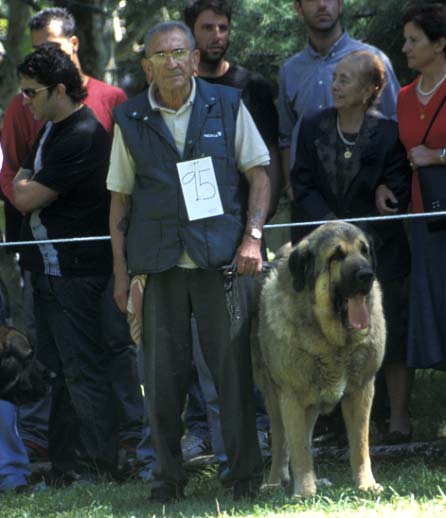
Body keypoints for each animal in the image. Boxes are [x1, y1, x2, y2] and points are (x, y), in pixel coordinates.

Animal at [254, 223, 386, 500]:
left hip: (311, 405)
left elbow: (360, 444)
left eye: (364, 251)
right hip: (273, 397)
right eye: (336, 256)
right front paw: (304, 493)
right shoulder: (290, 396)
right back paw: (274, 482)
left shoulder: (362, 390)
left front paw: (366, 484)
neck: (333, 341)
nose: (367, 275)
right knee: (281, 441)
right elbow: (299, 448)